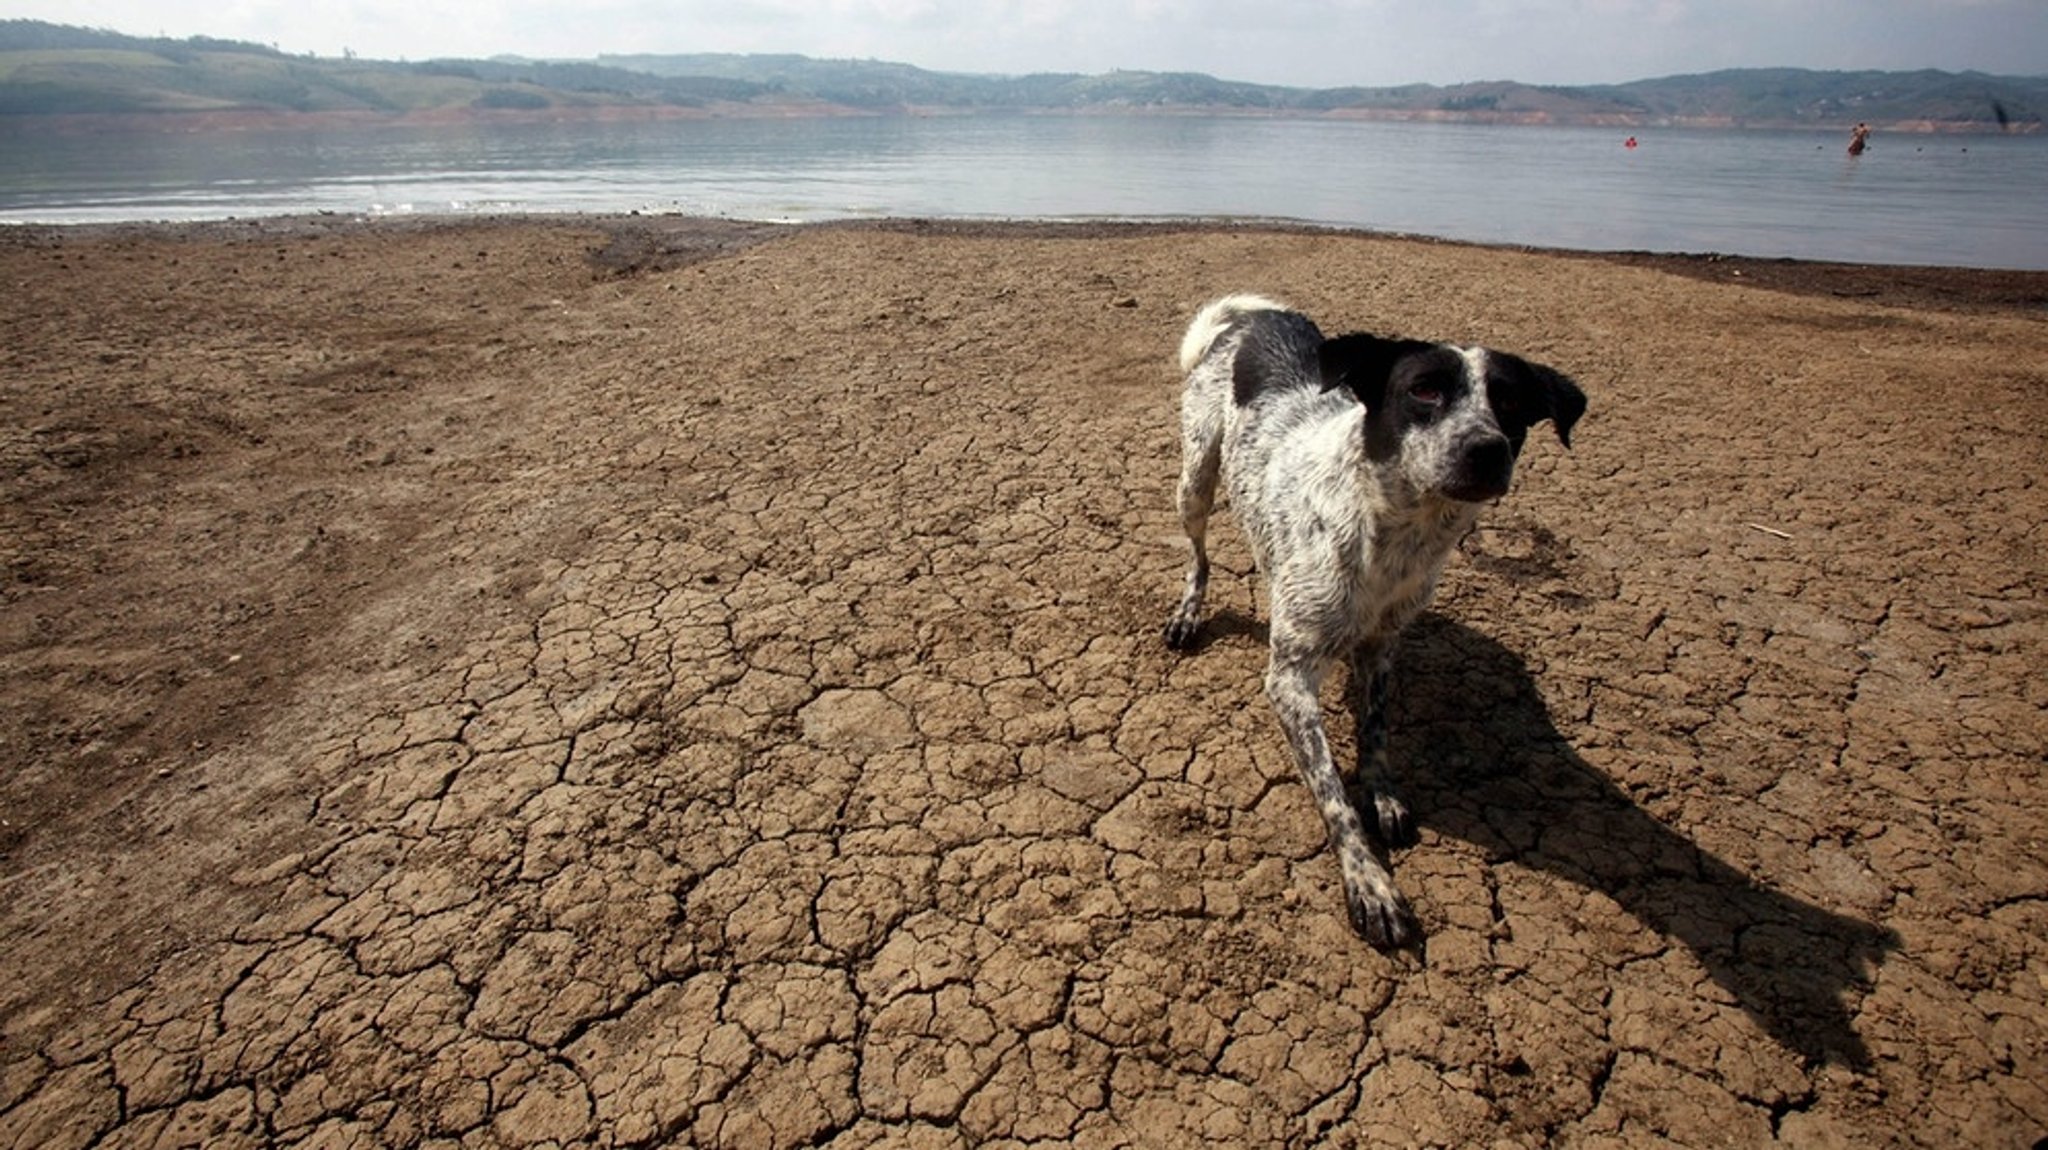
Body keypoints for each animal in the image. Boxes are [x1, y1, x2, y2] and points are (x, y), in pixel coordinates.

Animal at [1171, 290, 1581, 945]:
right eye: (1424, 391)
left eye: (1511, 402)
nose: (1486, 449)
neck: (1397, 535)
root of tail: (1257, 315)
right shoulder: (1288, 679)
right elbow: (1333, 795)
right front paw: (1369, 882)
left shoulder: (1383, 646)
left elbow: (1376, 729)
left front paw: (1383, 795)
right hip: (1196, 480)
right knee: (1199, 554)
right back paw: (1189, 610)